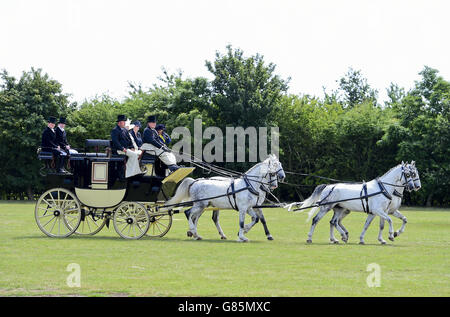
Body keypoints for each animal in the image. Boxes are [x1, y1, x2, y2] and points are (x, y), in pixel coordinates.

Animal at [284, 162, 414, 243]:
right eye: (408, 174)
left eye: (414, 174)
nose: (414, 186)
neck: (383, 188)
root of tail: (328, 186)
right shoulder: (378, 210)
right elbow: (389, 220)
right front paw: (391, 235)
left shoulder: (378, 212)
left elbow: (371, 224)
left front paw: (367, 239)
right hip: (326, 207)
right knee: (316, 220)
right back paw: (311, 238)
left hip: (338, 209)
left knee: (333, 222)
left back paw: (338, 238)